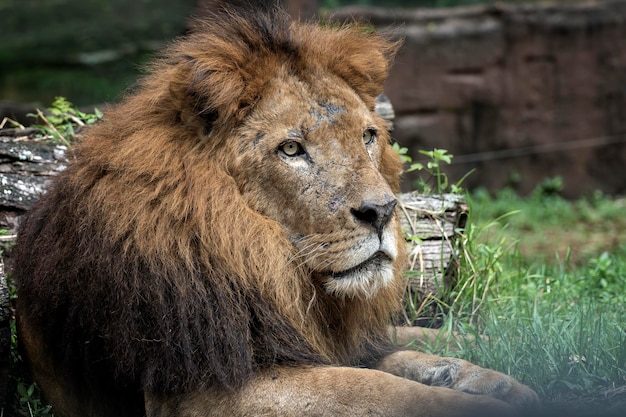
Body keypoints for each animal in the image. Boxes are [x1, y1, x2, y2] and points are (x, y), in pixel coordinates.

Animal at [11, 5, 536, 416]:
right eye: (291, 149)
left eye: (368, 136)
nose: (383, 211)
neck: (267, 260)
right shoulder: (202, 390)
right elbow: (379, 391)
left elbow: (424, 349)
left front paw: (506, 375)